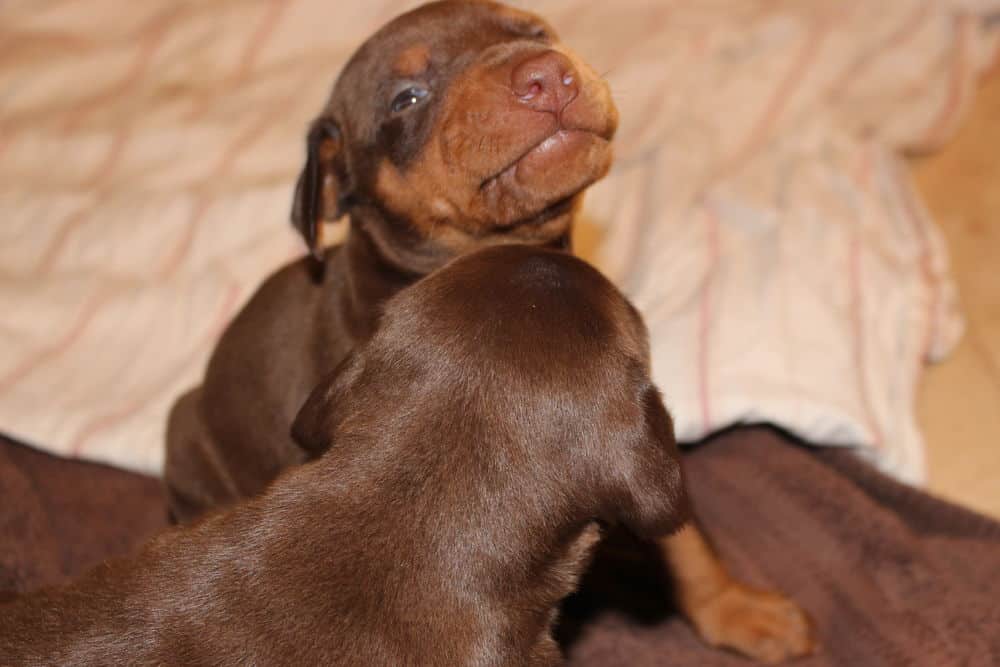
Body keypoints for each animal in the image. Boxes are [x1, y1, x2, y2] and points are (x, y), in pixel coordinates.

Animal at [164, 0, 812, 664]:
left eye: (537, 32)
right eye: (406, 98)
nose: (546, 75)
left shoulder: (633, 424)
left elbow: (683, 536)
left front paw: (737, 608)